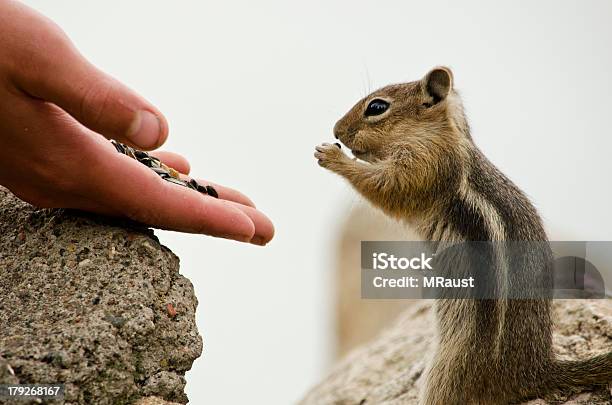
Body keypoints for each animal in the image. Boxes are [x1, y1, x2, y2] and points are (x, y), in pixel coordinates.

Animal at [316, 66, 612, 404]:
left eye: (377, 107)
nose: (336, 131)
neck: (442, 135)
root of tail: (534, 373)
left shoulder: (425, 167)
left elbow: (389, 188)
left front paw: (332, 157)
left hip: (448, 370)